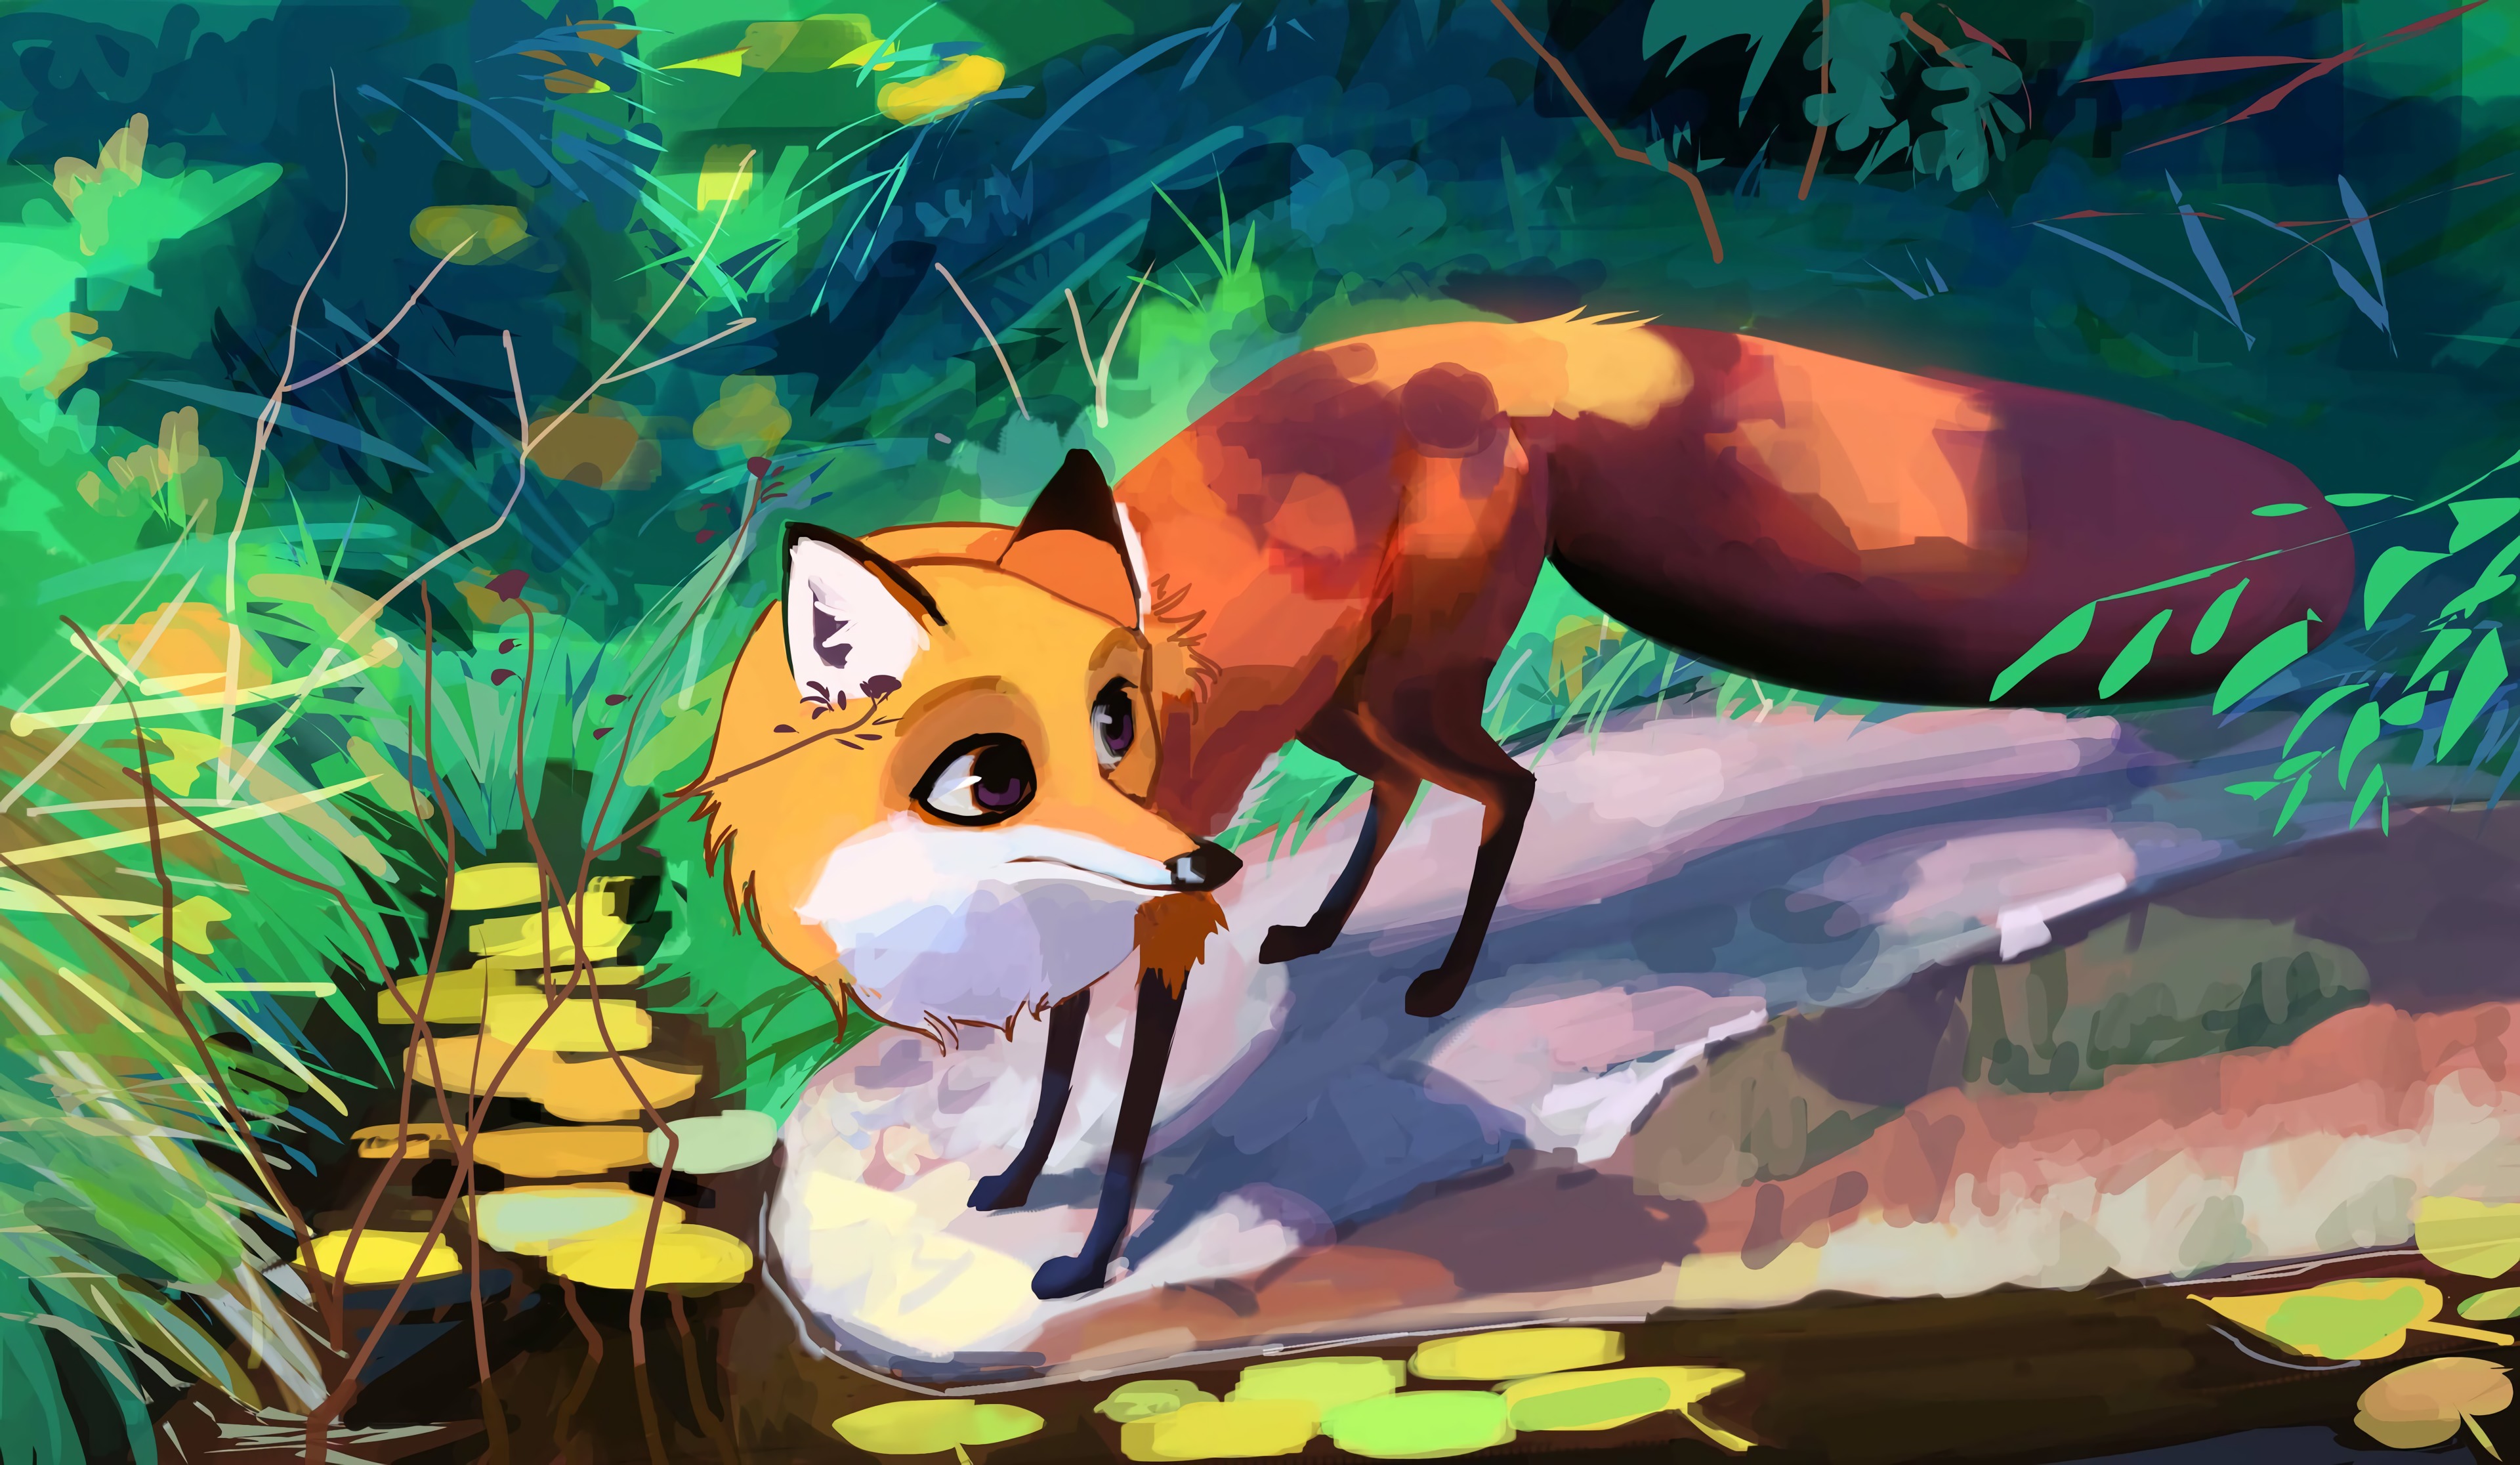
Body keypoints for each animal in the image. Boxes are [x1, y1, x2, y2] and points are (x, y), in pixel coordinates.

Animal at [691, 313, 2356, 1301]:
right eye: (996, 769)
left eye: (1121, 719)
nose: (1204, 854)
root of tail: (1481, 342)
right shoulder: (1089, 926)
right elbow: (1052, 1085)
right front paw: (1015, 1180)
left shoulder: (1154, 924)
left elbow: (1125, 1120)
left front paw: (1086, 1255)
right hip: (1355, 696)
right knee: (1403, 787)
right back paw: (1324, 929)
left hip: (1413, 682)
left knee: (1506, 783)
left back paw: (1435, 977)